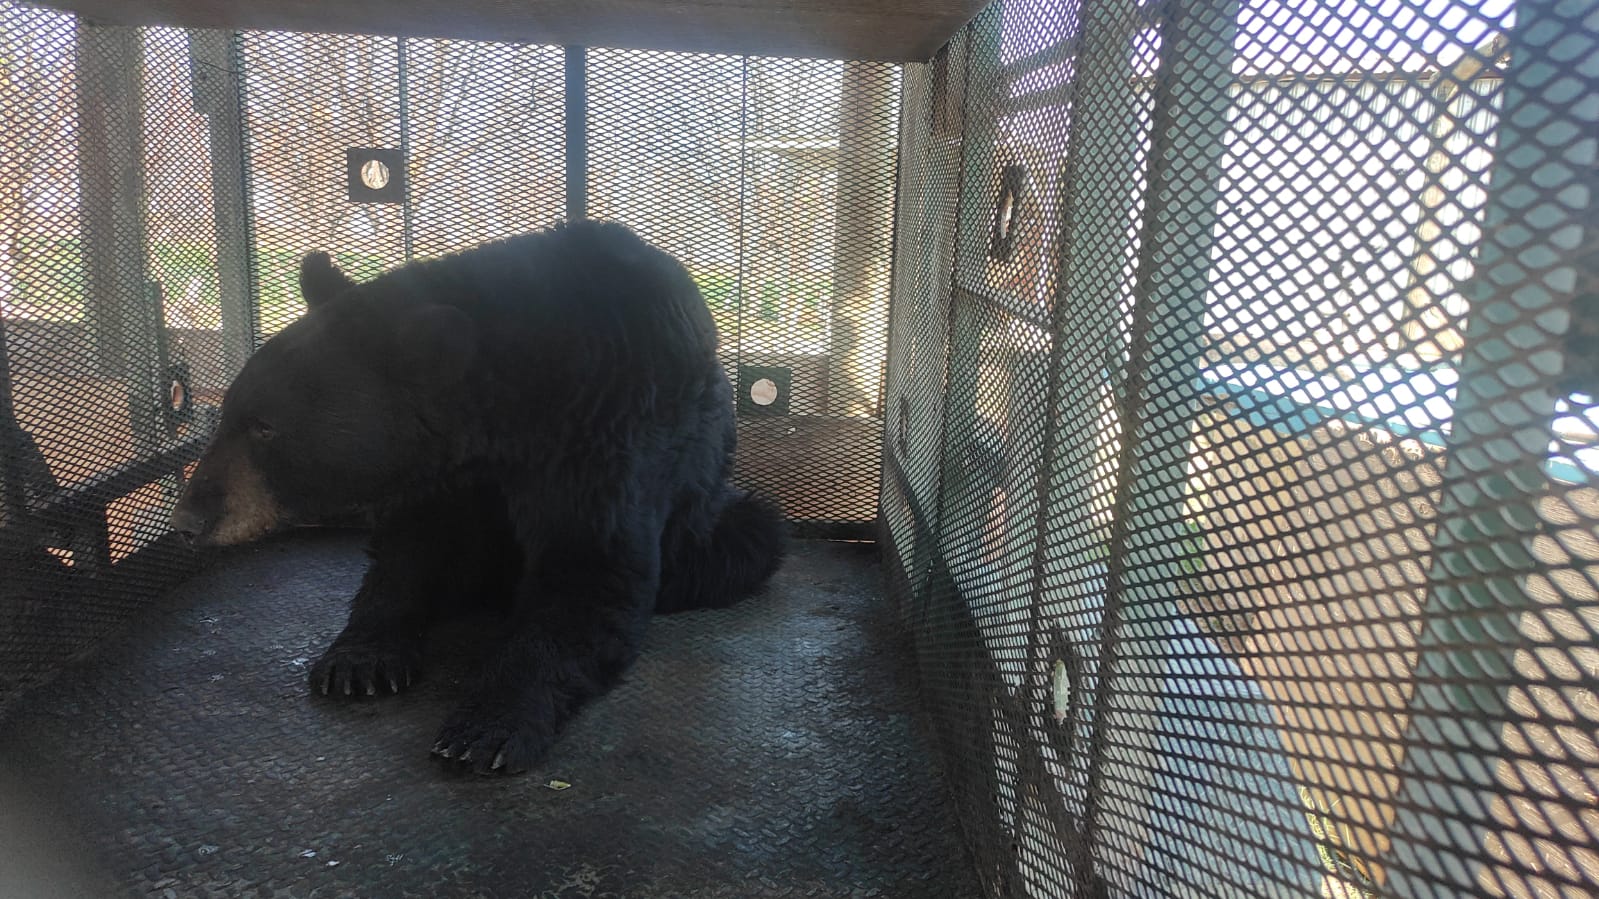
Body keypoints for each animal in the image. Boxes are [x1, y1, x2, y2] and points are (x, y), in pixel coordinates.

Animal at [170, 220, 787, 775]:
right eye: (227, 412)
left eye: (264, 427)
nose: (188, 518)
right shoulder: (445, 475)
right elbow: (410, 549)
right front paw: (359, 659)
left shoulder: (608, 432)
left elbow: (589, 571)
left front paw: (487, 727)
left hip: (711, 523)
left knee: (748, 537)